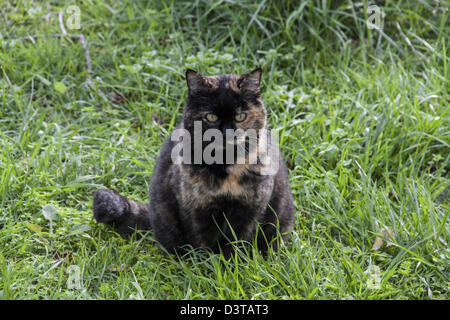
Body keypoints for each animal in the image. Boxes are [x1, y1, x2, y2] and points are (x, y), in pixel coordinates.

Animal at [93, 67, 294, 258]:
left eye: (240, 116)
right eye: (211, 117)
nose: (227, 133)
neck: (225, 167)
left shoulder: (248, 212)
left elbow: (236, 243)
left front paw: (231, 264)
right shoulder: (196, 209)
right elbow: (202, 242)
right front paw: (205, 265)